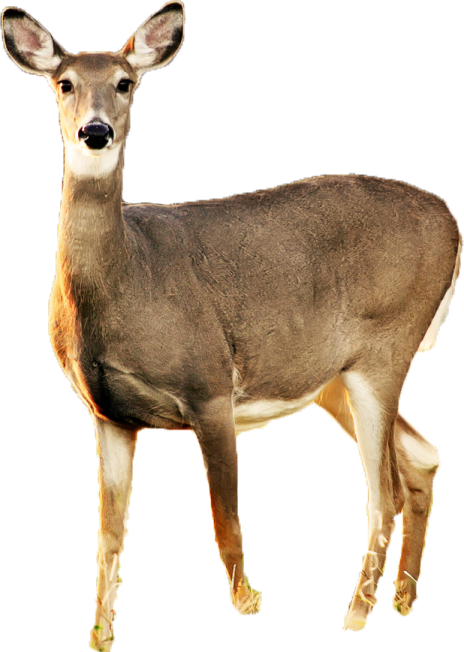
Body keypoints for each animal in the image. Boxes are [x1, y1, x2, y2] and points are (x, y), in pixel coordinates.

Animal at [2, 2, 461, 648]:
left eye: (125, 82)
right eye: (64, 83)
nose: (95, 131)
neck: (128, 282)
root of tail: (452, 219)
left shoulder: (210, 385)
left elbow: (226, 518)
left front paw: (249, 605)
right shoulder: (108, 415)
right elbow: (108, 537)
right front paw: (101, 636)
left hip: (386, 347)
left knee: (383, 490)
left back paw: (357, 612)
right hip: (333, 381)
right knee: (422, 457)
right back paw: (401, 599)